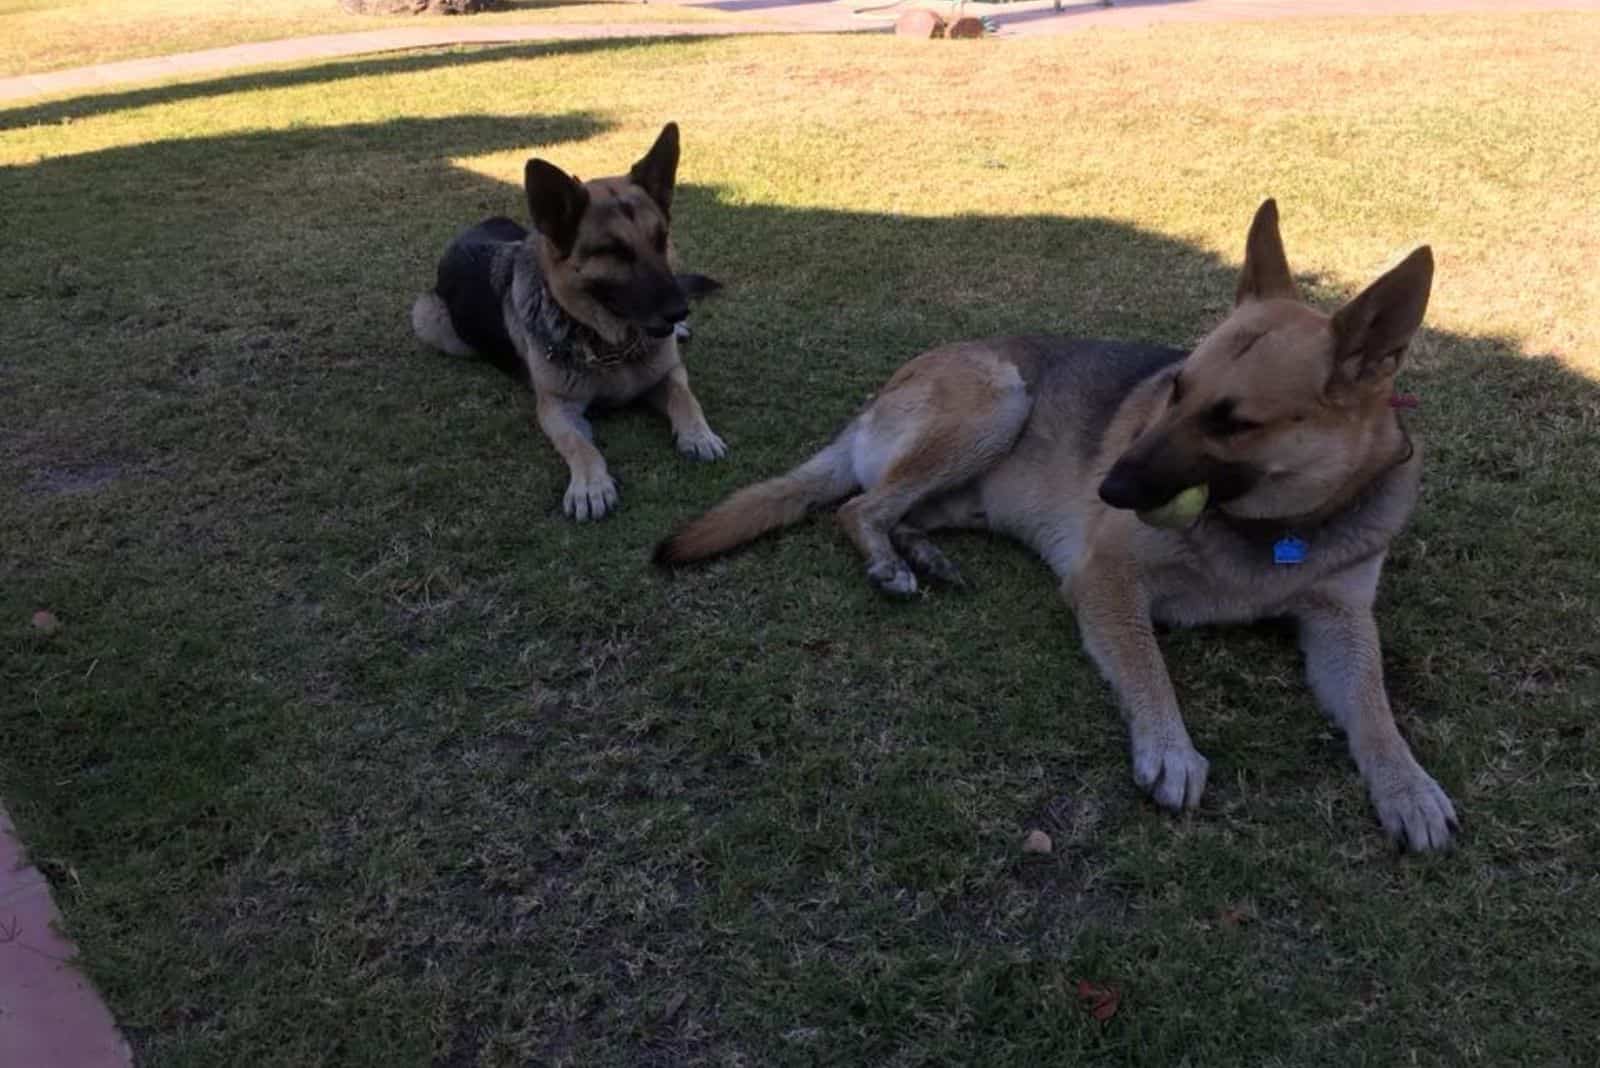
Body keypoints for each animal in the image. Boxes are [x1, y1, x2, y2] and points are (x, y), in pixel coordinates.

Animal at [416, 123, 732, 518]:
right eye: (614, 252)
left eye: (661, 240)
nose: (680, 311)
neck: (612, 347)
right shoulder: (557, 408)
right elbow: (580, 446)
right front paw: (590, 486)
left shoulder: (669, 374)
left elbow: (685, 399)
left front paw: (698, 434)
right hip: (427, 320)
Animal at [656, 199, 1459, 850]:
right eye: (1176, 388)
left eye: (1236, 423)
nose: (1109, 487)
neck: (1268, 531)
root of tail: (878, 399)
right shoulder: (1106, 580)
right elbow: (1146, 662)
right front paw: (1169, 747)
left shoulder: (1341, 621)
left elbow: (1373, 705)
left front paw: (1408, 786)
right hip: (998, 401)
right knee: (860, 507)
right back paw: (889, 563)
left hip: (976, 482)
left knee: (899, 510)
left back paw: (923, 556)